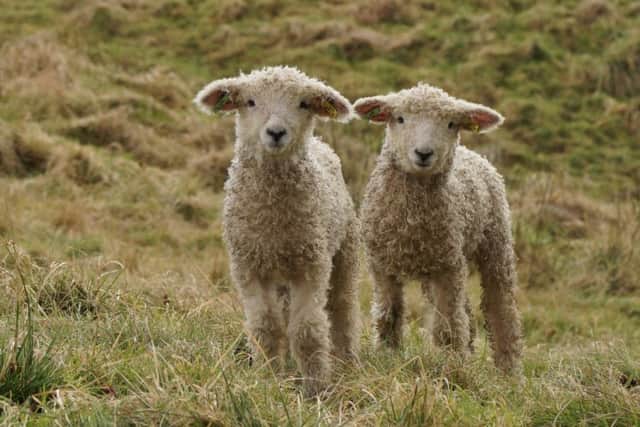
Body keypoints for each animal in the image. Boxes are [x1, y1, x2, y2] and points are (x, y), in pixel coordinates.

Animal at [194, 66, 360, 396]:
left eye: (303, 104)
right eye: (250, 102)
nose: (276, 133)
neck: (273, 218)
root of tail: (321, 143)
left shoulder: (312, 265)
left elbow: (308, 330)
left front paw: (316, 386)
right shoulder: (248, 266)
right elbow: (266, 327)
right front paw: (268, 378)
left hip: (343, 253)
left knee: (342, 309)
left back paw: (346, 362)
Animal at [354, 84, 522, 373]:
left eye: (451, 123)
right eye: (400, 118)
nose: (423, 153)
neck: (411, 221)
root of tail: (472, 153)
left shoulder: (447, 268)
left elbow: (448, 325)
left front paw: (452, 365)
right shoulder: (382, 265)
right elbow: (389, 315)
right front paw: (387, 356)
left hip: (494, 242)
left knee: (500, 306)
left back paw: (508, 369)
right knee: (466, 311)